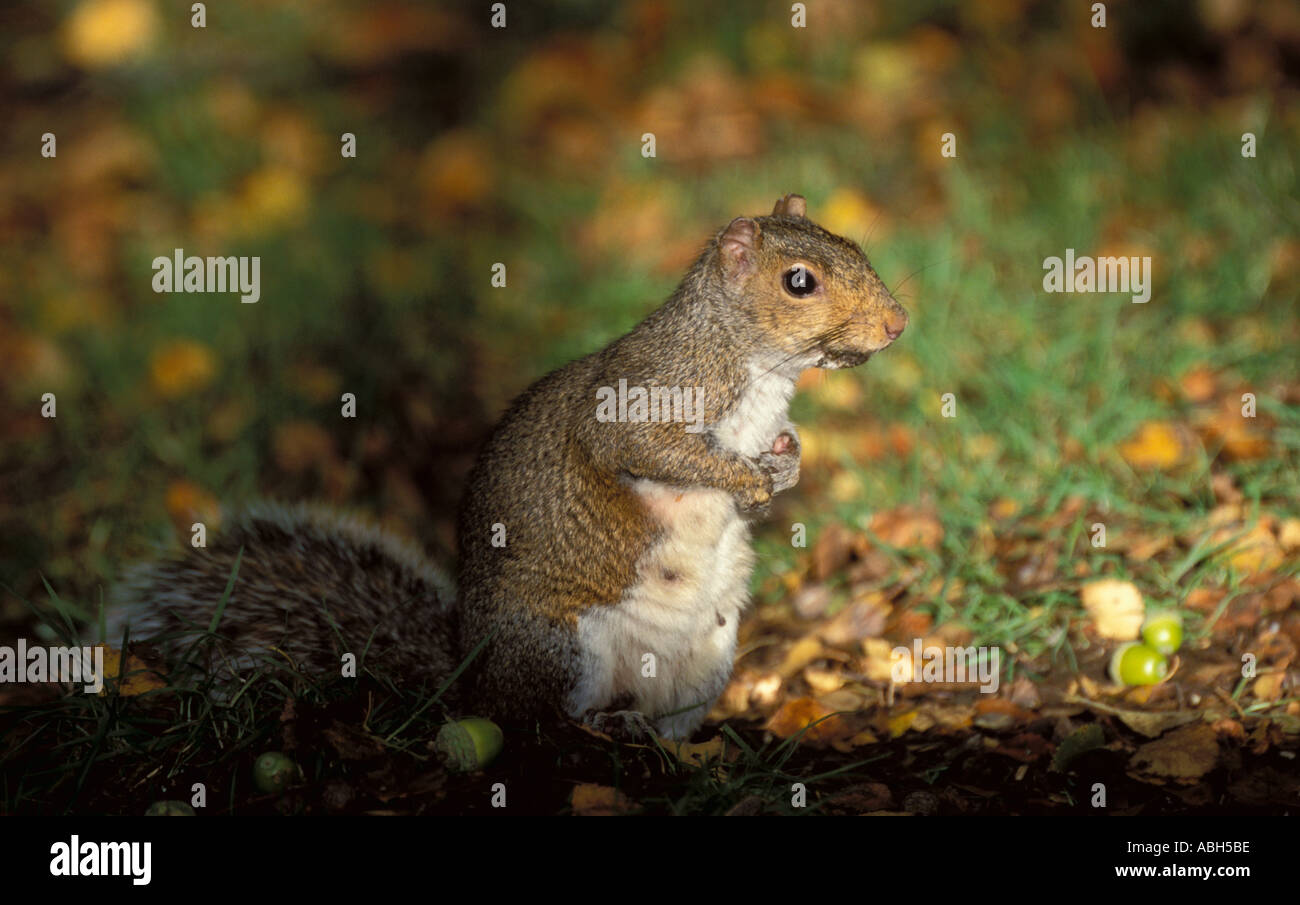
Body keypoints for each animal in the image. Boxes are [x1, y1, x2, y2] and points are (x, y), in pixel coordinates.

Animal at [109, 194, 907, 740]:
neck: (753, 366)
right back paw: (595, 729)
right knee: (540, 723)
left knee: (662, 721)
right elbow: (647, 450)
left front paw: (784, 469)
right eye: (799, 281)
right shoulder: (642, 398)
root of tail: (472, 683)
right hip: (559, 648)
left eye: (851, 243)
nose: (898, 323)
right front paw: (744, 478)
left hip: (705, 657)